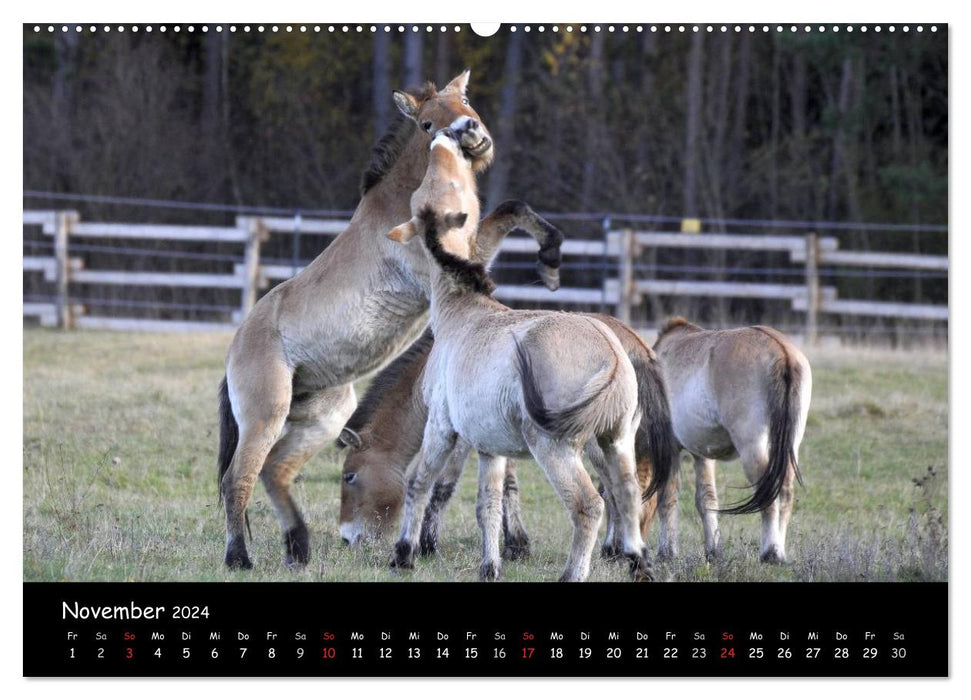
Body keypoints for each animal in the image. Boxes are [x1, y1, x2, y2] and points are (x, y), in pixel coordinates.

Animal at [213, 74, 560, 572]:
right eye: (427, 122)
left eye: (466, 100)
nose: (470, 131)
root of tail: (236, 348)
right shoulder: (452, 265)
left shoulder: (473, 247)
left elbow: (513, 209)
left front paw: (550, 261)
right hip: (266, 416)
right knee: (238, 478)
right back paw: (240, 558)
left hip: (324, 416)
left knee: (275, 472)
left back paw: (299, 548)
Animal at [648, 318, 816, 564]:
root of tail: (782, 352)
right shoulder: (702, 454)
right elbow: (706, 500)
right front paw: (714, 552)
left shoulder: (670, 449)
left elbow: (667, 498)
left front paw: (666, 553)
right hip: (788, 448)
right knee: (785, 491)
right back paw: (779, 552)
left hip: (752, 449)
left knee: (770, 496)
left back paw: (771, 552)